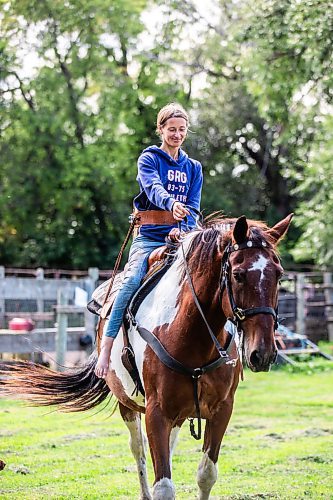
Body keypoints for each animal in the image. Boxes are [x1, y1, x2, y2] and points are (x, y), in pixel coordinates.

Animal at [0, 214, 290, 500]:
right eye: (238, 275)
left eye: (279, 275)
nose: (263, 353)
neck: (191, 338)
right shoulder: (156, 412)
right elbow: (162, 485)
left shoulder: (221, 410)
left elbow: (206, 474)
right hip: (128, 404)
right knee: (138, 449)